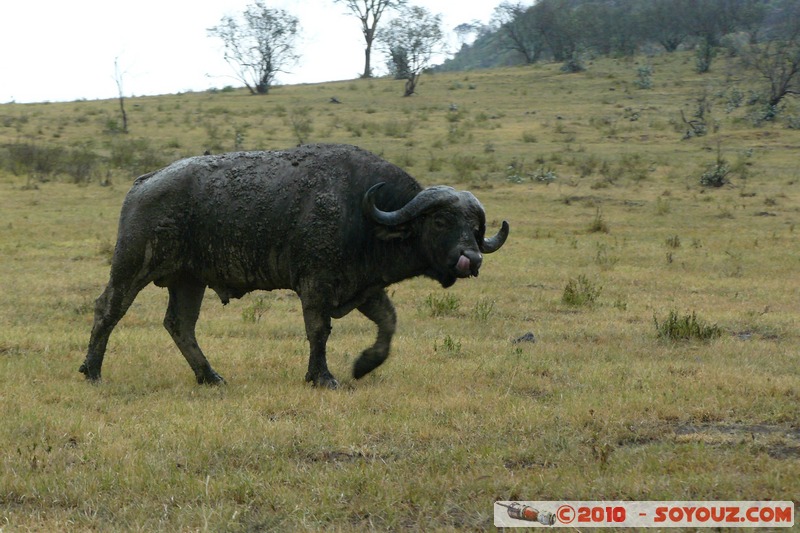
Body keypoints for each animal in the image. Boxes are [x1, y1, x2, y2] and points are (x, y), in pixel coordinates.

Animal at [80, 143, 509, 388]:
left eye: (474, 227)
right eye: (441, 221)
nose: (471, 259)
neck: (363, 213)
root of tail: (144, 182)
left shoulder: (365, 288)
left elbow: (388, 325)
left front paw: (364, 365)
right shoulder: (315, 286)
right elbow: (319, 332)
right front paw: (322, 377)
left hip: (189, 281)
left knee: (179, 325)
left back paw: (210, 376)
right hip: (132, 266)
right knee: (108, 310)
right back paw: (92, 371)